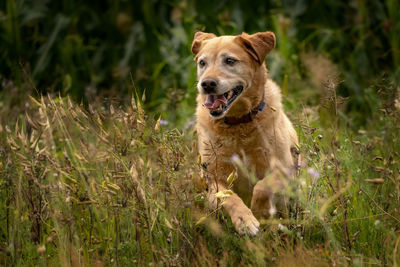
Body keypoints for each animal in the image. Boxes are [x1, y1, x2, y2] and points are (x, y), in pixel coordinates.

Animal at [192, 30, 298, 237]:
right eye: (202, 62)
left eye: (230, 61)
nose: (206, 84)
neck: (237, 122)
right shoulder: (214, 179)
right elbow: (229, 196)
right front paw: (245, 220)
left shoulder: (284, 168)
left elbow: (262, 187)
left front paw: (259, 211)